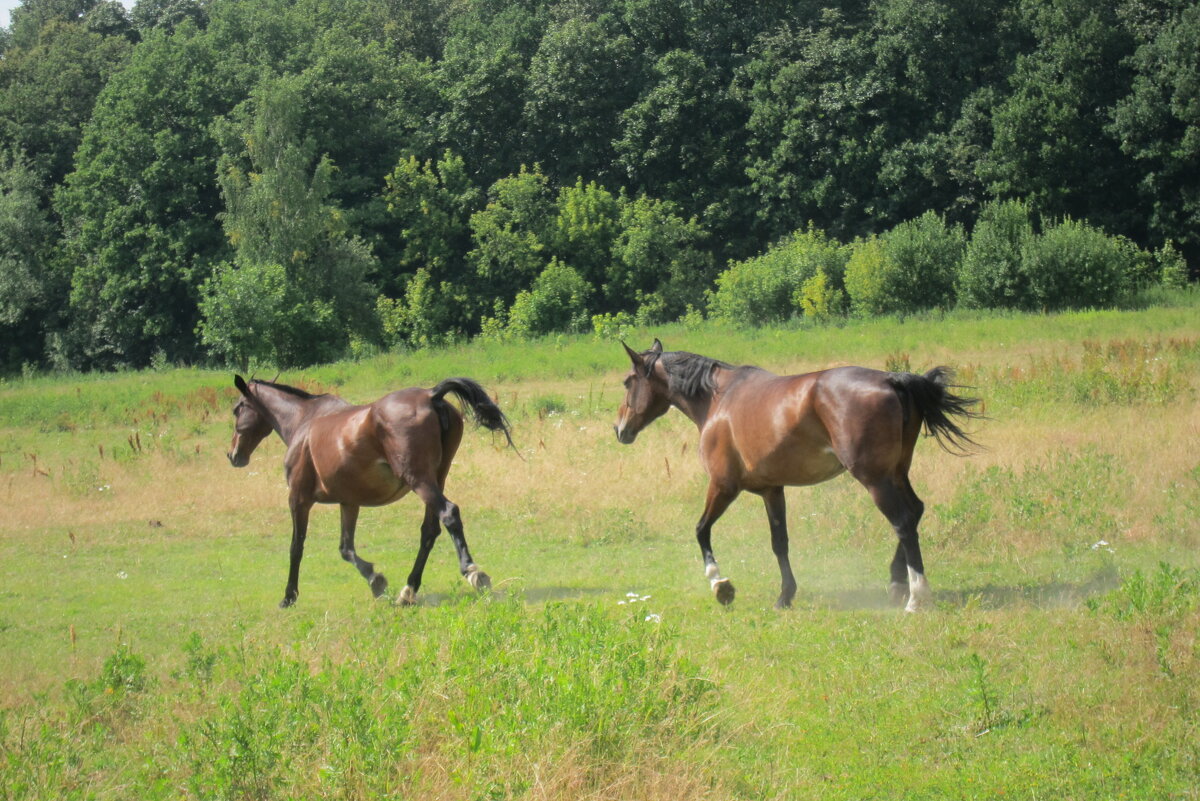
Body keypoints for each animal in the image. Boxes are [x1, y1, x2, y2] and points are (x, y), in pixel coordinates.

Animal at [228, 376, 511, 606]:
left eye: (237, 409)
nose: (233, 455)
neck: (303, 423)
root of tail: (431, 395)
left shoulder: (298, 499)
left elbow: (296, 547)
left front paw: (289, 597)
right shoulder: (349, 502)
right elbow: (346, 548)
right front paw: (376, 581)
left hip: (419, 480)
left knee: (449, 514)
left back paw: (473, 572)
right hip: (437, 478)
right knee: (429, 531)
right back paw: (408, 591)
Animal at [614, 340, 979, 613]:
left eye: (628, 382)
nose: (619, 429)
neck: (718, 399)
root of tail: (892, 380)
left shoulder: (723, 486)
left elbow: (701, 530)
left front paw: (721, 585)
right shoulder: (772, 490)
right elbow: (780, 543)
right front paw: (785, 596)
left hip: (875, 478)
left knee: (903, 522)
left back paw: (917, 597)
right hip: (897, 471)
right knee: (915, 511)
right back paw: (896, 583)